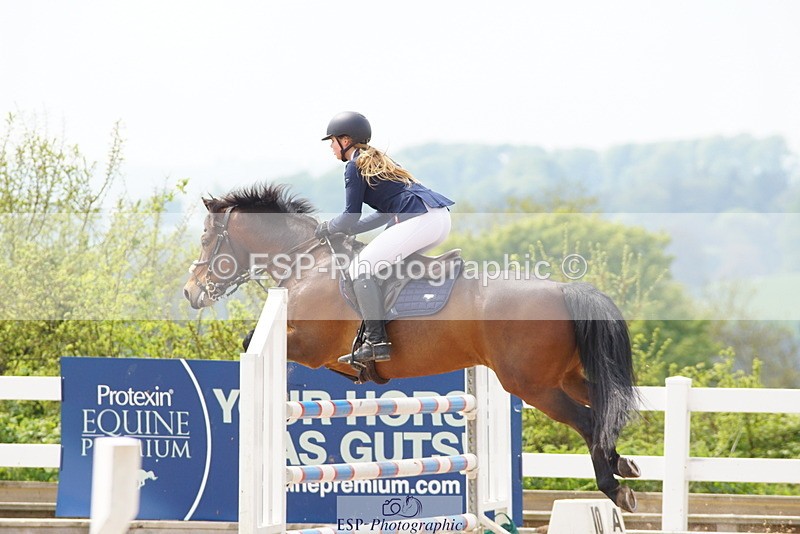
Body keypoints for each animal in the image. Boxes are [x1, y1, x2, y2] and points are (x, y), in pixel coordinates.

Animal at [182, 183, 641, 512]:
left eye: (206, 239)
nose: (190, 292)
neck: (306, 263)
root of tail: (565, 289)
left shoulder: (311, 345)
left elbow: (252, 342)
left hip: (532, 385)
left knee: (588, 422)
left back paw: (615, 488)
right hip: (565, 376)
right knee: (602, 408)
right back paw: (623, 464)